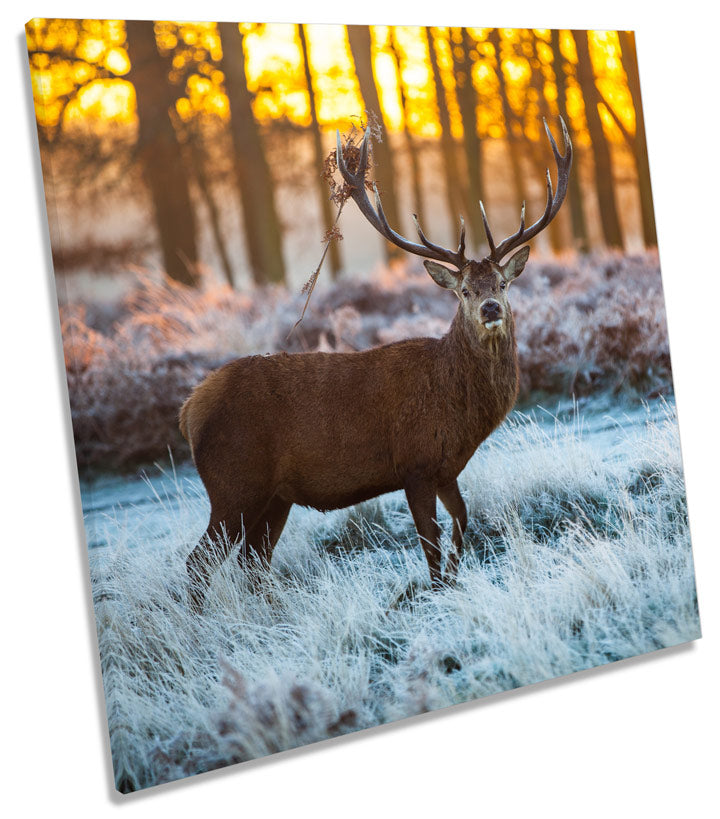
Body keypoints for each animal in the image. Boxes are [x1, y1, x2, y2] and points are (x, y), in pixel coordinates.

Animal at [181, 118, 572, 612]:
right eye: (464, 290)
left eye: (502, 283)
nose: (489, 309)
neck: (460, 411)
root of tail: (189, 410)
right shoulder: (414, 464)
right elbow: (430, 542)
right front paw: (436, 591)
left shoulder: (446, 468)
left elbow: (463, 522)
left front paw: (454, 579)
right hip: (233, 485)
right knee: (199, 564)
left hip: (274, 497)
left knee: (254, 562)